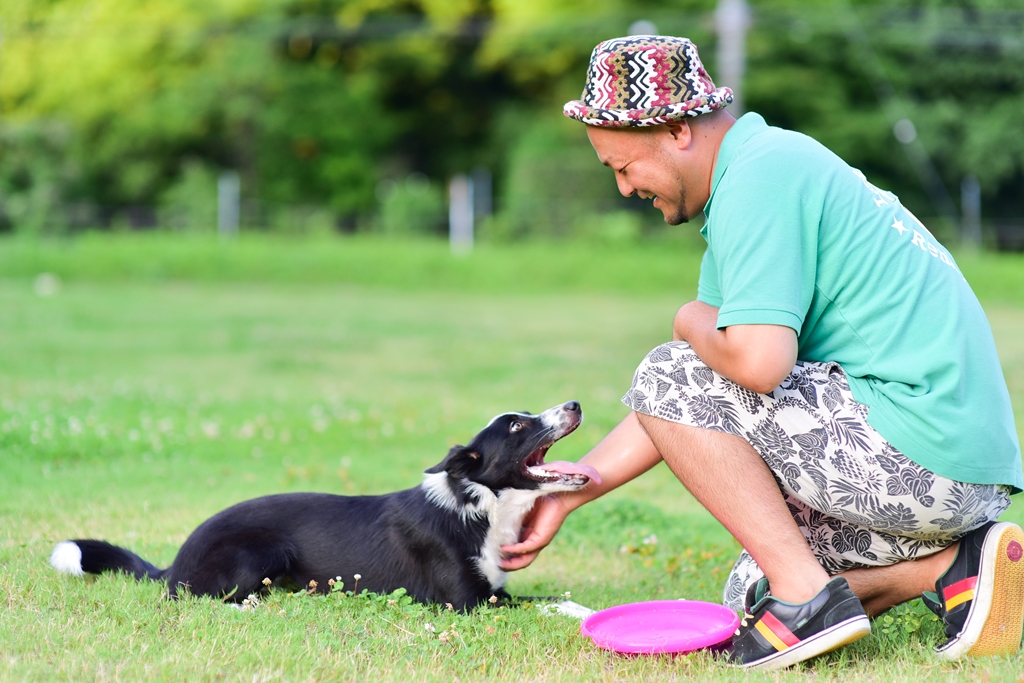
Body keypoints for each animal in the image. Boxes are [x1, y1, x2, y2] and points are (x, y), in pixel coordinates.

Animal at [49, 401, 598, 610]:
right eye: (518, 426)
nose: (574, 404)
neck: (481, 504)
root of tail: (175, 563)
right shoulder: (466, 602)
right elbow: (548, 601)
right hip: (258, 552)